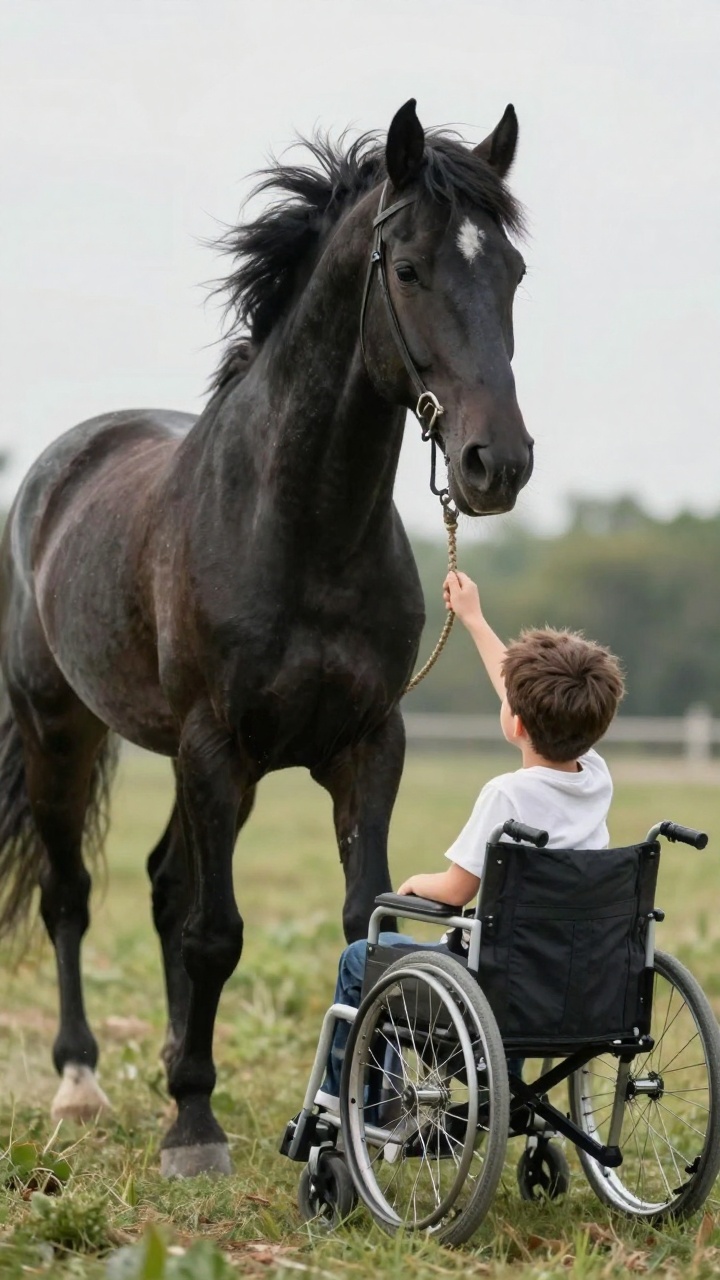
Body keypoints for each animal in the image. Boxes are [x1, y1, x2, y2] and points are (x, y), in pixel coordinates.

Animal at [0, 99, 532, 1177]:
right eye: (409, 269)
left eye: (513, 273)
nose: (495, 464)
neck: (298, 527)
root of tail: (59, 465)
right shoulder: (217, 744)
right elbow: (216, 933)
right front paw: (195, 1130)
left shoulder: (365, 744)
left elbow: (363, 918)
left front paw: (380, 1106)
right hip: (61, 730)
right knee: (74, 893)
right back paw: (81, 1080)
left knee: (163, 885)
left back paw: (169, 1057)